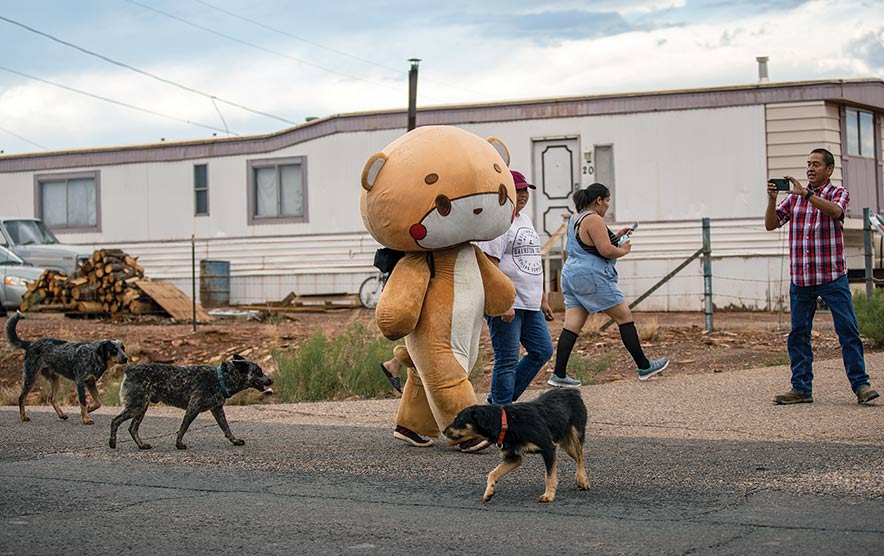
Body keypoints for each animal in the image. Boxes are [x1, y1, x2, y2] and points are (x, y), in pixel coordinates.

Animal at [109, 356, 272, 452]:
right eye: (259, 371)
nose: (271, 380)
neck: (221, 378)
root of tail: (129, 369)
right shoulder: (193, 407)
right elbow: (183, 428)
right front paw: (179, 444)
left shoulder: (217, 409)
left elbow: (226, 428)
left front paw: (235, 440)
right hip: (137, 407)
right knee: (115, 421)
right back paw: (112, 442)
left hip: (141, 408)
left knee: (132, 428)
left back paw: (141, 445)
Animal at [446, 386, 592, 504]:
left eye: (459, 419)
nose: (444, 431)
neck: (507, 422)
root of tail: (571, 390)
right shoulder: (513, 458)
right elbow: (493, 473)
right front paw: (489, 492)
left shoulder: (548, 448)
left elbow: (549, 476)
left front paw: (549, 495)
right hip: (565, 444)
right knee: (577, 457)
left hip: (576, 434)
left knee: (580, 457)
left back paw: (582, 479)